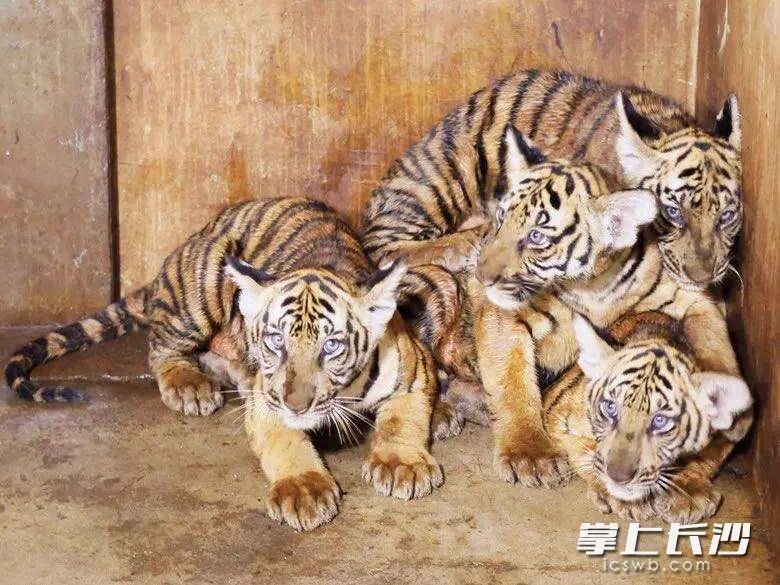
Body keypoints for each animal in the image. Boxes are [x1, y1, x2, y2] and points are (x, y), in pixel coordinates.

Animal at [4, 197, 443, 531]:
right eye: (276, 340)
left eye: (332, 345)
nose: (296, 405)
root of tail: (195, 236)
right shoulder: (268, 400)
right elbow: (285, 442)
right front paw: (304, 491)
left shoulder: (415, 372)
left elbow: (401, 422)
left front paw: (402, 464)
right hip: (205, 283)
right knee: (160, 348)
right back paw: (188, 386)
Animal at [544, 311, 752, 523]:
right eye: (611, 408)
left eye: (660, 421)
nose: (620, 476)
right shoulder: (556, 412)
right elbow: (585, 449)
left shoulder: (731, 431)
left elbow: (706, 456)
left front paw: (687, 492)